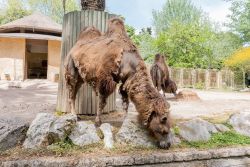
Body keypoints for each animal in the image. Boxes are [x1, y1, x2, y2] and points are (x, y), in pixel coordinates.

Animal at [65, 18, 172, 149]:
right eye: (163, 120)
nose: (167, 144)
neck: (126, 60)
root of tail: (75, 46)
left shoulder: (126, 81)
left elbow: (126, 103)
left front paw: (126, 121)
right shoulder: (105, 80)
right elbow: (101, 102)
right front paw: (97, 123)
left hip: (80, 77)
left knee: (74, 93)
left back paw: (77, 115)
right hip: (71, 69)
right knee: (71, 91)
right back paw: (74, 116)